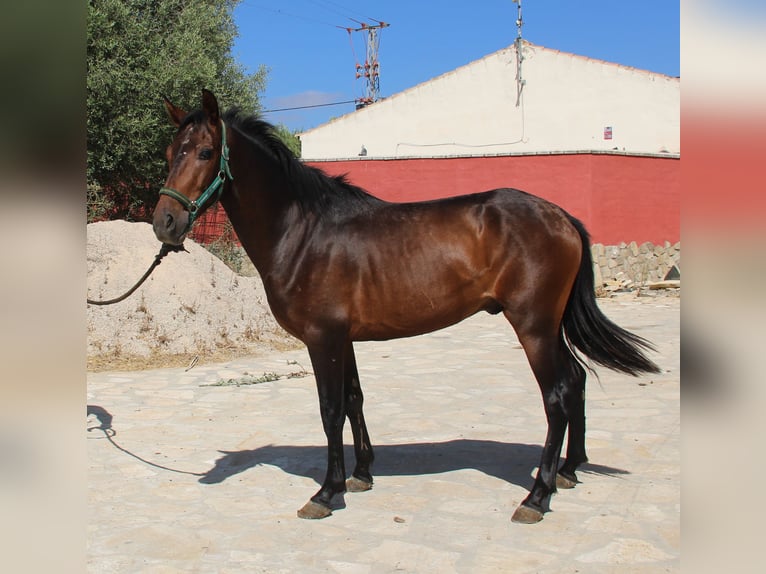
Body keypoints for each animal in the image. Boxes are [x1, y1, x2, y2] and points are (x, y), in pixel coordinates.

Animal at [152, 90, 660, 528]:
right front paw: (360, 475)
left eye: (204, 153)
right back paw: (569, 471)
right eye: (170, 153)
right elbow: (354, 401)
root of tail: (562, 216)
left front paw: (326, 492)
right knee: (575, 381)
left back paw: (537, 497)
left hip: (534, 326)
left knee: (556, 395)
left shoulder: (323, 338)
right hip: (549, 326)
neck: (303, 231)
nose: (165, 223)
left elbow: (330, 409)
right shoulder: (344, 338)